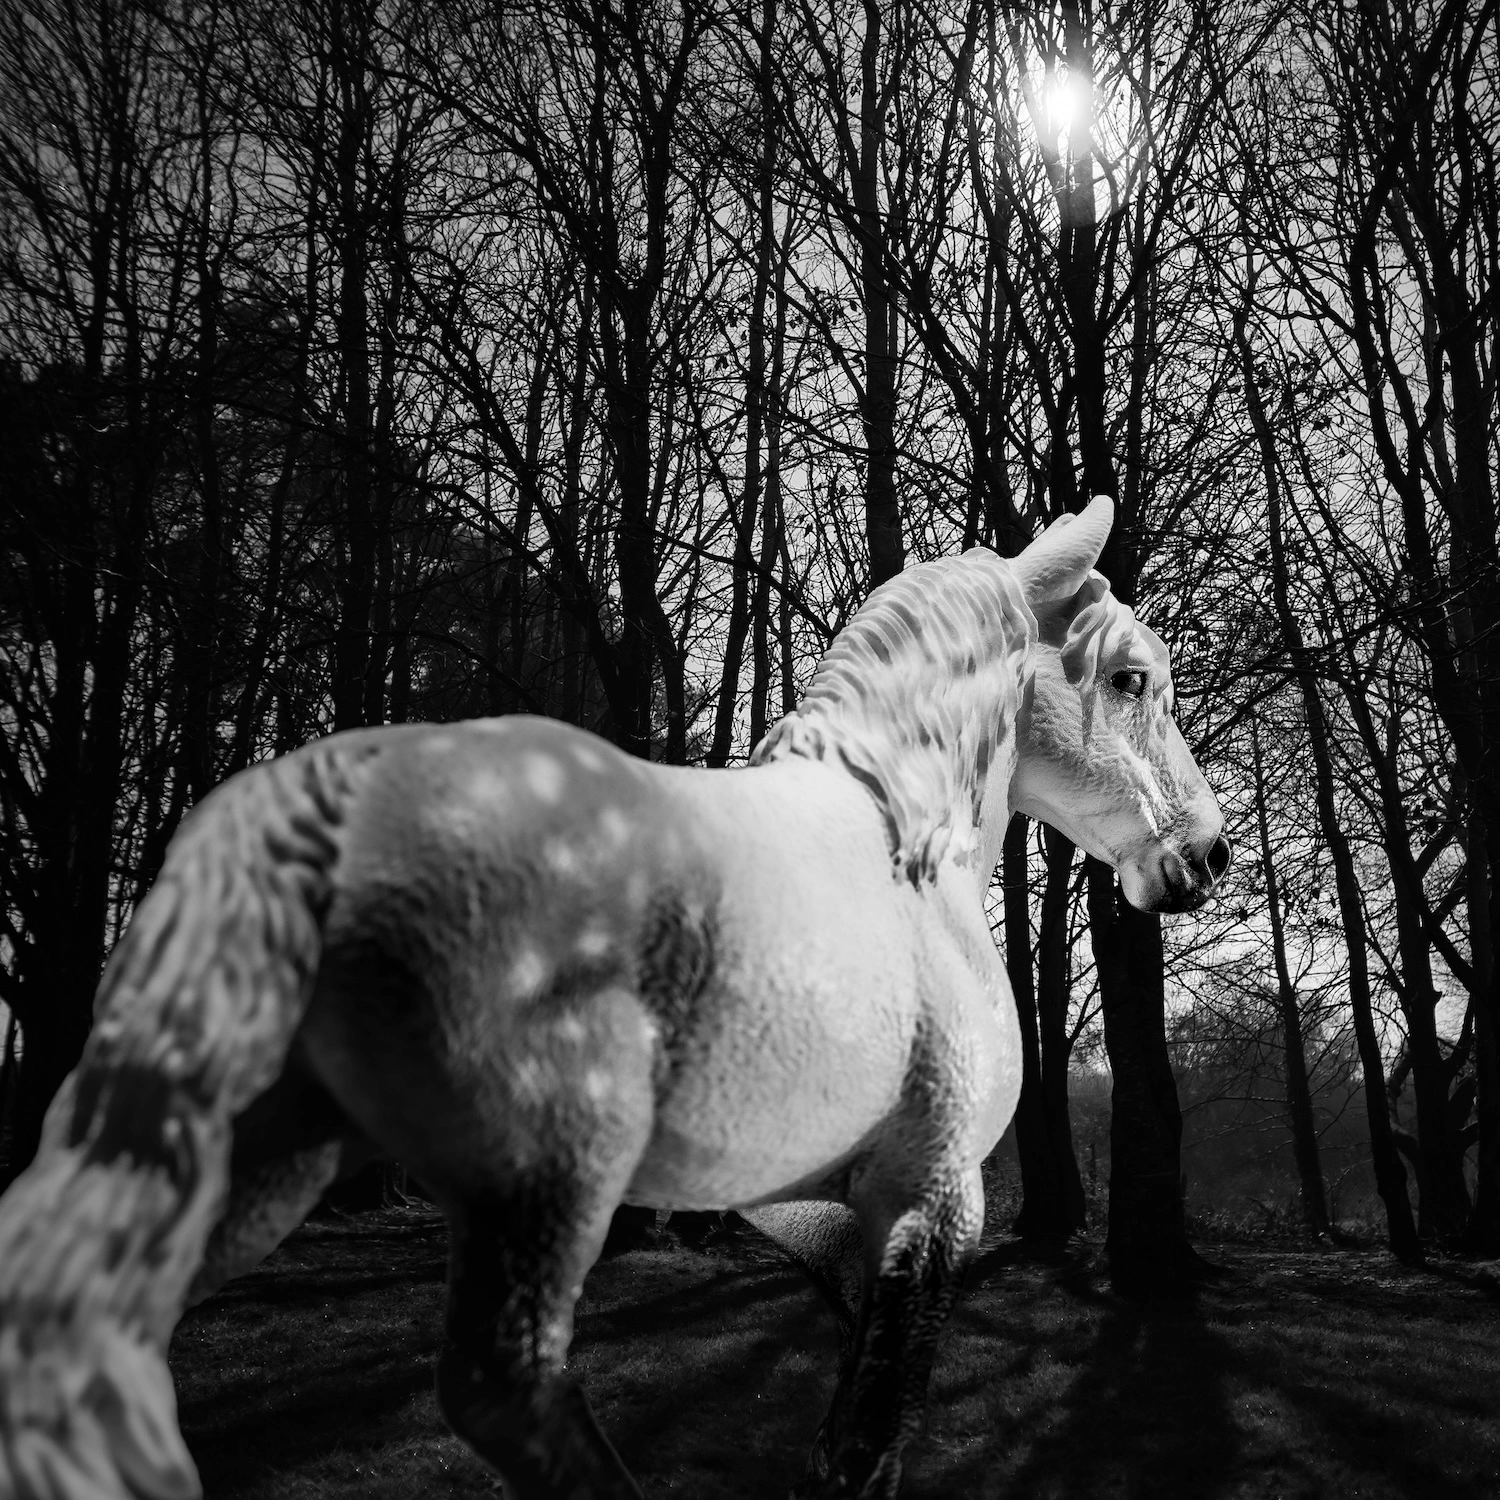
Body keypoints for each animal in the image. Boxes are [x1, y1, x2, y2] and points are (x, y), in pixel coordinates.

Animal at [0, 495, 1229, 1500]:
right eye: (1130, 680)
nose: (1205, 855)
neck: (902, 847)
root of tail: (332, 791)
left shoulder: (809, 1206)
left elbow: (844, 1418)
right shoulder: (933, 1191)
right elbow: (869, 1439)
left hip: (257, 1165)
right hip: (550, 1176)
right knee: (503, 1385)